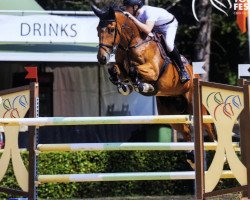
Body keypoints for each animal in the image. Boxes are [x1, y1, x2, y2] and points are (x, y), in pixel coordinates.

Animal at [91, 4, 216, 144]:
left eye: (111, 29)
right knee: (186, 132)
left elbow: (134, 70)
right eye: (97, 29)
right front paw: (123, 86)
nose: (102, 58)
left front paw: (141, 85)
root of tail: (196, 76)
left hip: (197, 107)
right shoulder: (122, 68)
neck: (131, 43)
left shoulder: (153, 71)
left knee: (210, 129)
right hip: (170, 113)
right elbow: (115, 70)